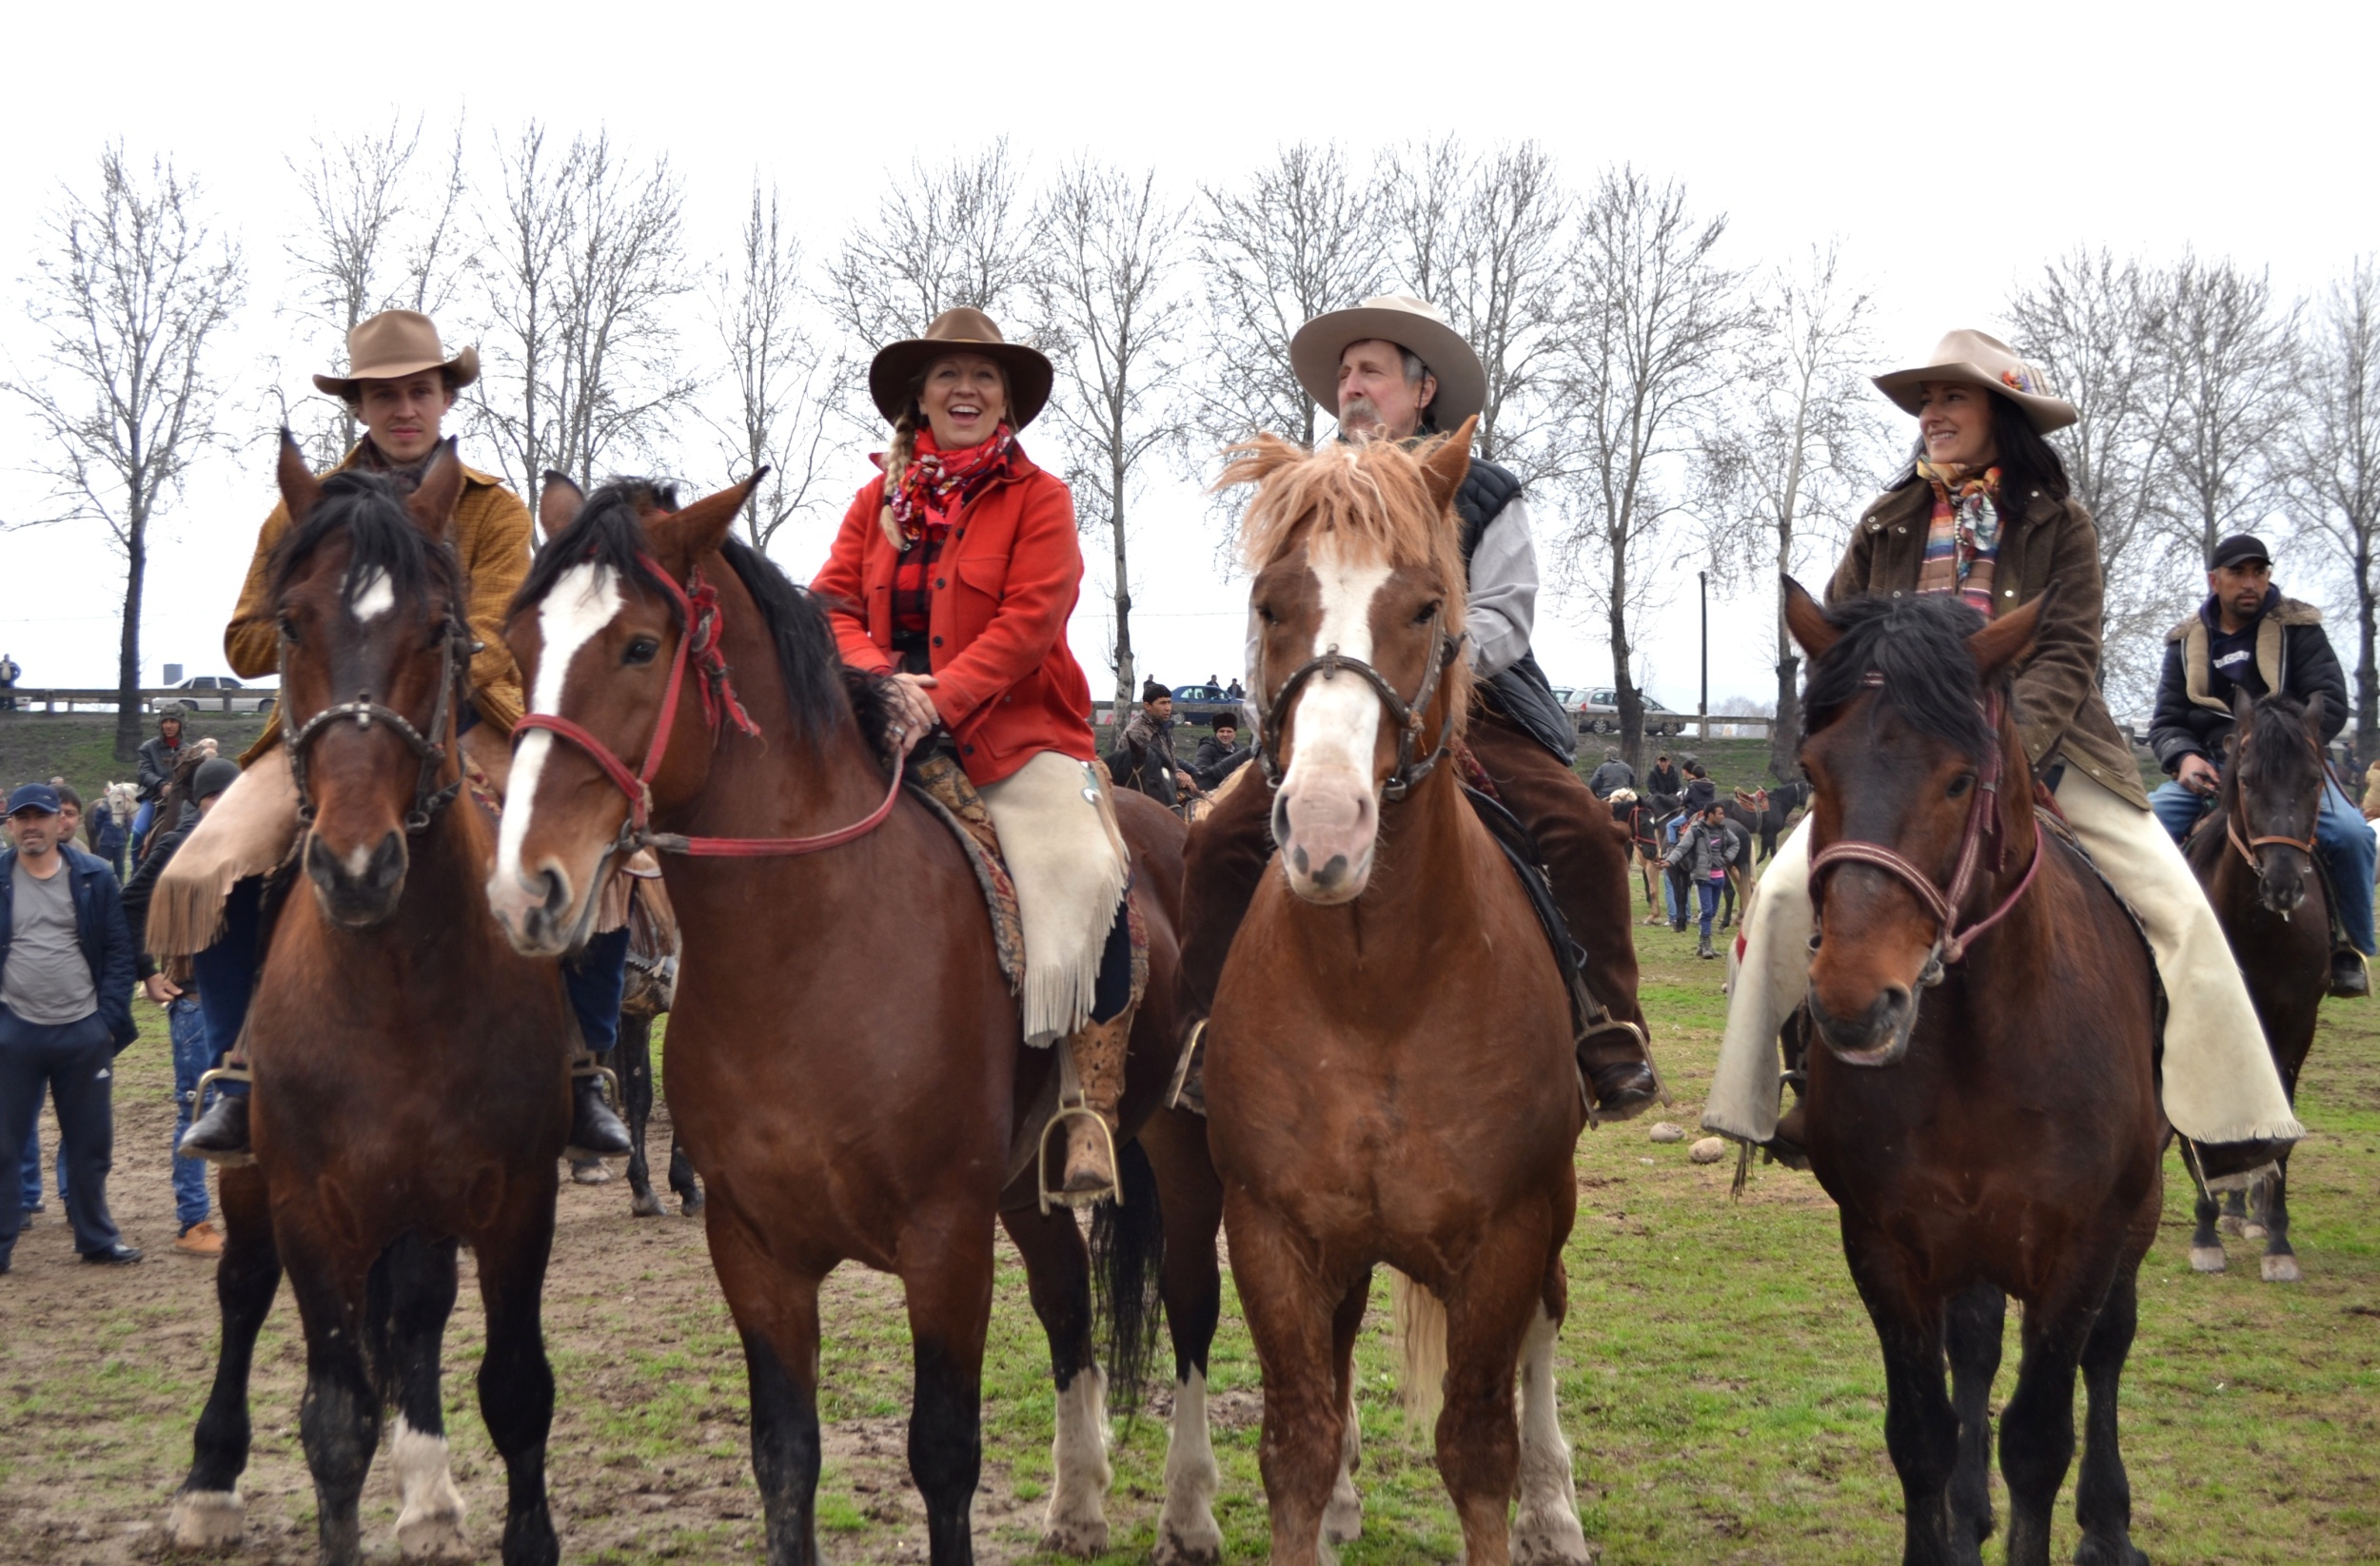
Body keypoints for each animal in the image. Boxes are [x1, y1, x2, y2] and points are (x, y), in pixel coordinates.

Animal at [168, 435, 576, 1560]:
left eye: (439, 628)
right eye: (291, 620)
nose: (356, 866)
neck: (398, 987)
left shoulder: (516, 1198)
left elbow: (516, 1390)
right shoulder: (314, 1209)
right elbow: (335, 1420)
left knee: (422, 1306)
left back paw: (428, 1486)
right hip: (260, 1181)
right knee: (239, 1286)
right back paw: (208, 1481)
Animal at [485, 468, 1228, 1560]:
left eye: (639, 646)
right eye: (519, 642)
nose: (525, 886)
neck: (808, 957)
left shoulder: (943, 1242)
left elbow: (944, 1456)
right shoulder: (756, 1254)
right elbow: (785, 1460)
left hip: (1177, 1146)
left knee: (1188, 1308)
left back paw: (1187, 1508)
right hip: (1027, 1189)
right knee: (1065, 1309)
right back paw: (1078, 1502)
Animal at [1209, 421, 1599, 1560]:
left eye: (1426, 606)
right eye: (1268, 603)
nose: (1323, 829)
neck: (1373, 989)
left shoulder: (1508, 1229)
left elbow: (1476, 1448)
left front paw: (1527, 1502)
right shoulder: (1272, 1229)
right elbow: (1294, 1444)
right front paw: (1324, 1489)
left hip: (1551, 1210)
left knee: (1547, 1327)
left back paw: (1556, 1508)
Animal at [1789, 577, 2179, 1560]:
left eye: (1959, 778)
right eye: (1811, 772)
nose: (1854, 1002)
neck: (1975, 1044)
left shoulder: (2082, 1245)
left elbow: (2039, 1439)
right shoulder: (1885, 1244)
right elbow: (1920, 1436)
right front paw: (1949, 1518)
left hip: (2137, 1212)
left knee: (2109, 1346)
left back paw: (2107, 1523)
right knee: (1973, 1345)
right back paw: (1971, 1513)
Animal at [2179, 690, 2331, 1275]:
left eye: (2313, 778)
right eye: (2245, 780)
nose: (2284, 885)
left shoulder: (2296, 1026)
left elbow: (2279, 1122)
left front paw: (2278, 1241)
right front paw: (2204, 1231)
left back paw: (2252, 1211)